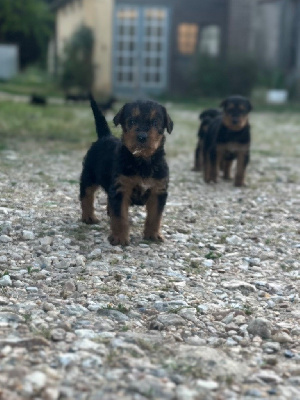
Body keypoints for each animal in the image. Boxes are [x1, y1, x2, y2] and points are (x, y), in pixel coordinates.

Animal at [79, 96, 173, 247]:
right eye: (132, 121)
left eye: (155, 122)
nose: (142, 136)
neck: (142, 161)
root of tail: (105, 136)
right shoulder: (121, 189)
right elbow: (120, 217)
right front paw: (119, 238)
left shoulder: (158, 191)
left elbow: (155, 216)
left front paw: (153, 235)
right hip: (89, 175)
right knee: (86, 196)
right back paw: (89, 217)